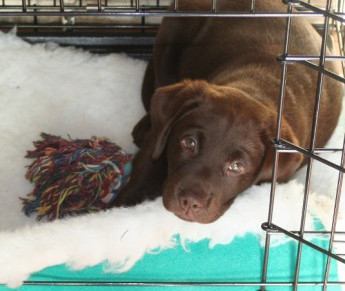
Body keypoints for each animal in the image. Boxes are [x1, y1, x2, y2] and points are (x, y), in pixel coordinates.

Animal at [115, 0, 342, 225]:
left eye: (236, 167)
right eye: (189, 143)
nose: (190, 202)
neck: (255, 88)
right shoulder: (158, 142)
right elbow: (147, 167)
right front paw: (119, 209)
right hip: (171, 35)